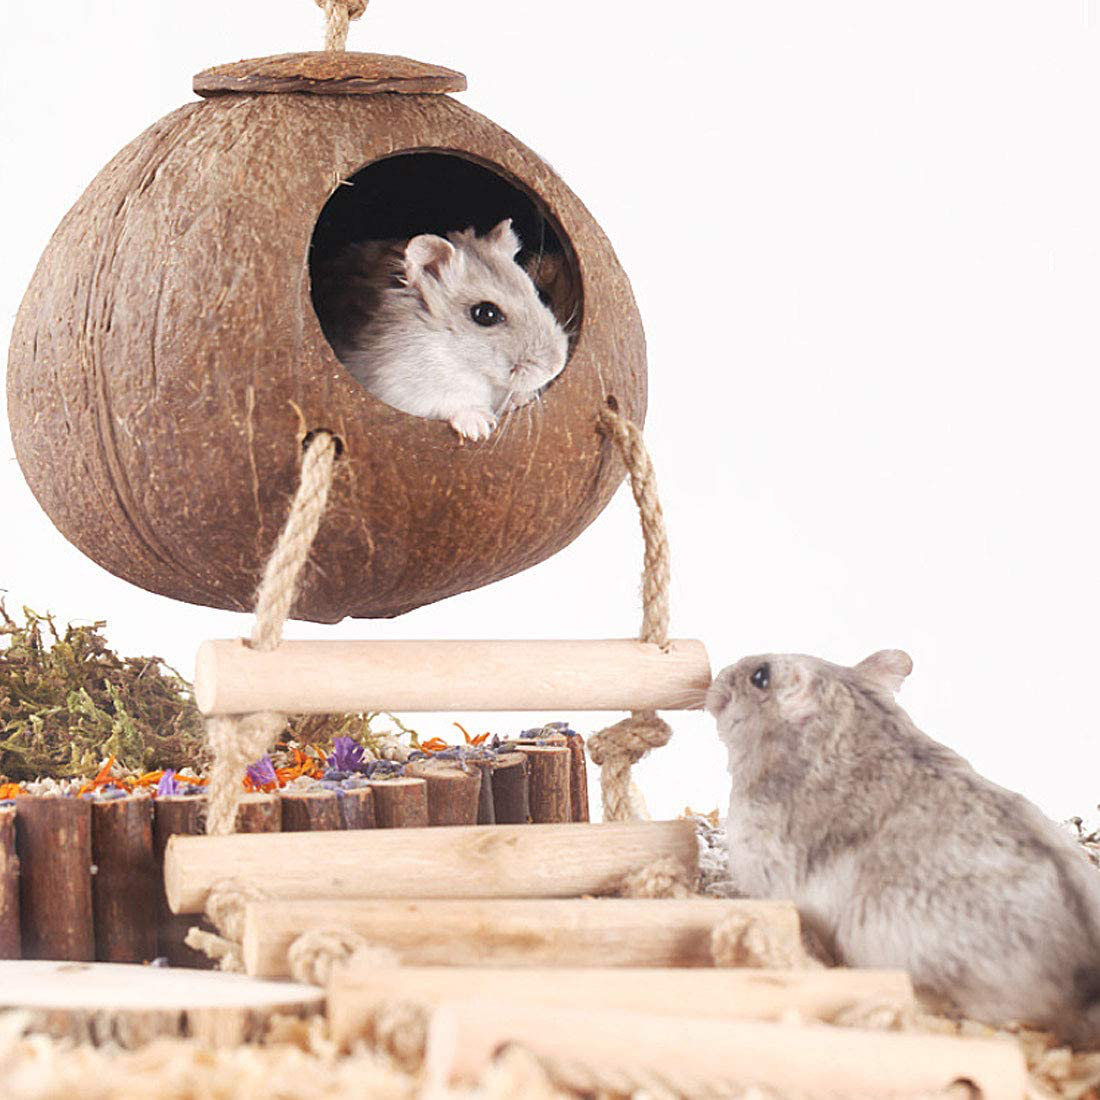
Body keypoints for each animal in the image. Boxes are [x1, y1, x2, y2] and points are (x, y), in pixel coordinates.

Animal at [312, 219, 569, 441]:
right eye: (486, 314)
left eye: (537, 293)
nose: (556, 367)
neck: (456, 357)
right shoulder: (398, 388)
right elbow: (451, 402)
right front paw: (479, 427)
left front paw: (522, 398)